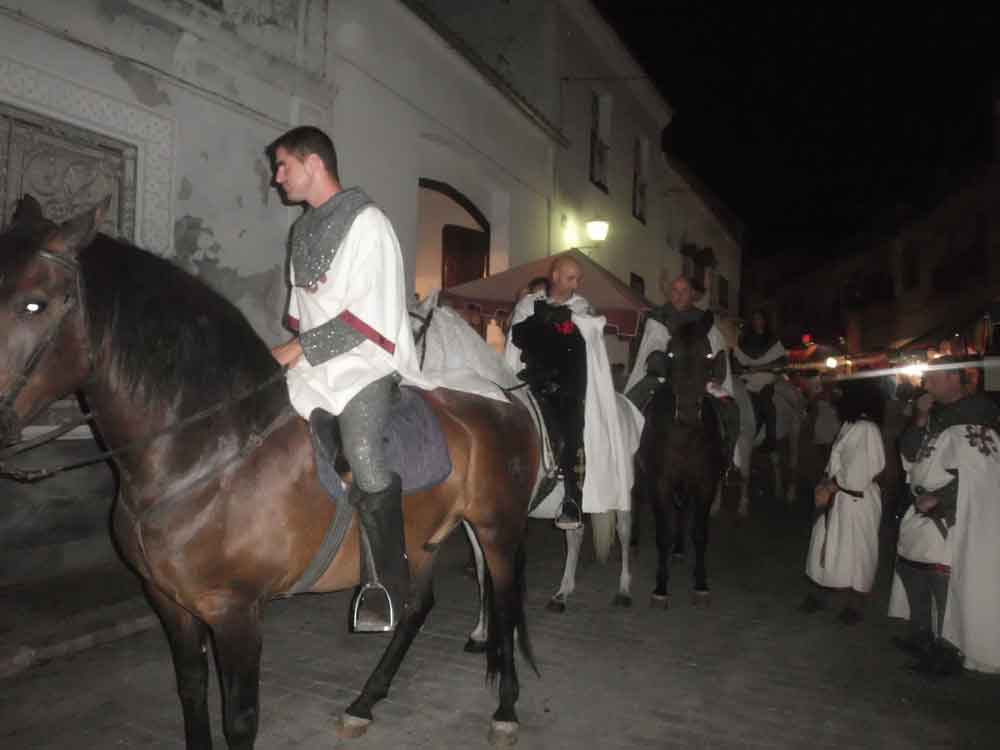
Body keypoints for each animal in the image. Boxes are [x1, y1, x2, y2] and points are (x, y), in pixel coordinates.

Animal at [0, 197, 540, 748]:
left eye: (34, 304)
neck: (204, 455)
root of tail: (505, 399)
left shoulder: (235, 612)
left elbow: (239, 719)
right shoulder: (171, 603)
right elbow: (191, 692)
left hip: (497, 529)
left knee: (505, 599)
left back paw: (506, 710)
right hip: (427, 535)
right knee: (416, 606)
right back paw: (364, 703)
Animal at [412, 296, 636, 648]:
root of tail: (622, 403)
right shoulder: (474, 520)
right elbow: (482, 567)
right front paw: (481, 632)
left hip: (622, 490)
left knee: (624, 533)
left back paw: (624, 589)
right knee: (575, 535)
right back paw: (562, 593)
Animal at [632, 314, 728, 608]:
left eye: (707, 353)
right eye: (672, 353)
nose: (686, 410)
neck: (685, 435)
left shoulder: (705, 483)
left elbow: (700, 533)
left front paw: (701, 584)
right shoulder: (660, 482)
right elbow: (662, 534)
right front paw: (661, 588)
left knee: (682, 510)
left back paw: (678, 550)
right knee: (636, 498)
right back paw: (634, 541)